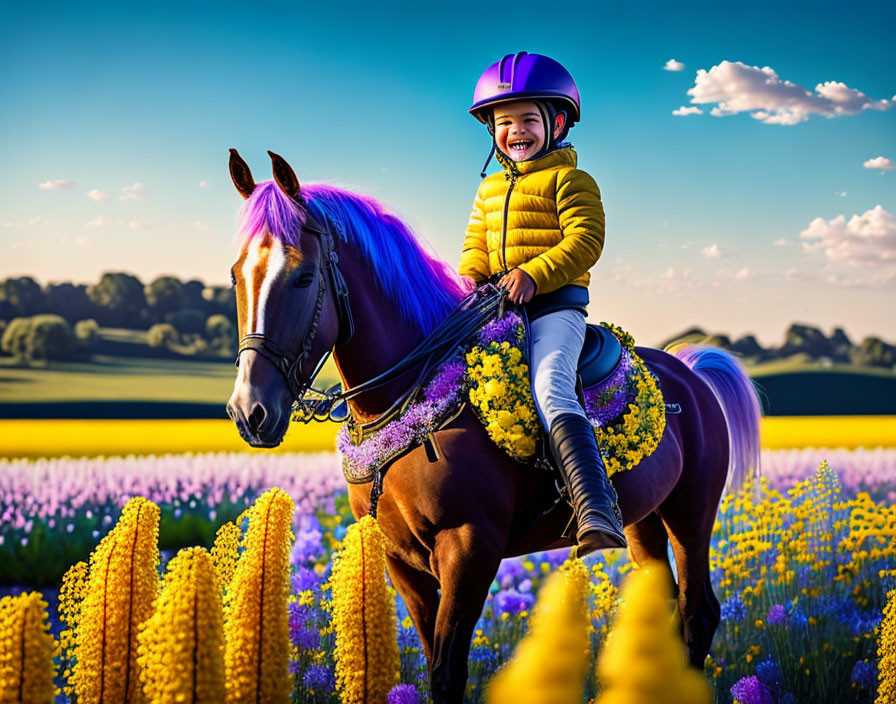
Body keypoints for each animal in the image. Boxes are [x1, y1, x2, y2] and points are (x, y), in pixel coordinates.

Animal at [226, 150, 764, 704]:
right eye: (236, 275)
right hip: (643, 518)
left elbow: (448, 673)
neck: (408, 397)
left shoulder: (469, 548)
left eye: (304, 277)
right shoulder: (401, 561)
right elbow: (432, 660)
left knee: (699, 613)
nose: (250, 412)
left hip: (691, 511)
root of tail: (690, 374)